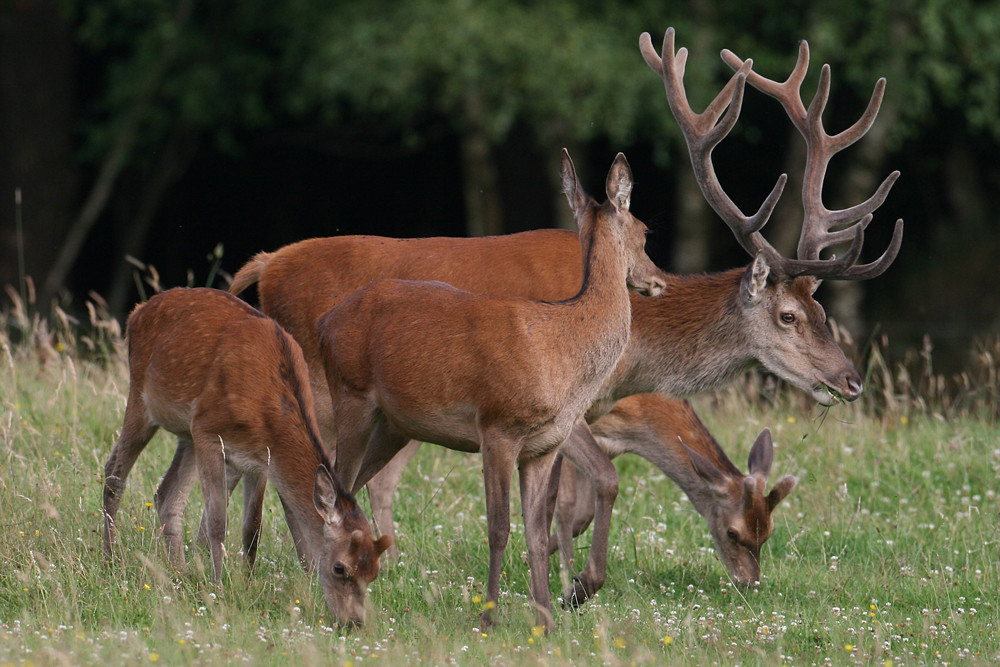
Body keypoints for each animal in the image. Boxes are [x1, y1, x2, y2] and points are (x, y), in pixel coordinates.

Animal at [100, 290, 390, 628]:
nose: (354, 621)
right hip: (142, 401)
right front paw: (218, 587)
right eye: (339, 567)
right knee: (114, 472)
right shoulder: (209, 433)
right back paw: (110, 560)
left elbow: (253, 527)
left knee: (167, 494)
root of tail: (137, 312)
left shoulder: (262, 459)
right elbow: (218, 522)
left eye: (375, 573)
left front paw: (247, 583)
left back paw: (179, 573)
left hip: (186, 432)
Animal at [316, 150, 652, 632]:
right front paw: (489, 618)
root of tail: (325, 324)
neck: (562, 351)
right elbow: (498, 529)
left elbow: (536, 532)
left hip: (394, 424)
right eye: (645, 232)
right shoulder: (498, 427)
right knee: (335, 484)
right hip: (351, 396)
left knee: (353, 487)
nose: (657, 279)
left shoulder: (544, 446)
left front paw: (547, 622)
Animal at [552, 394, 792, 588]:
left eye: (769, 531)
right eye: (731, 533)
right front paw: (566, 571)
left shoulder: (606, 445)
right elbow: (565, 505)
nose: (750, 581)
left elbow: (582, 517)